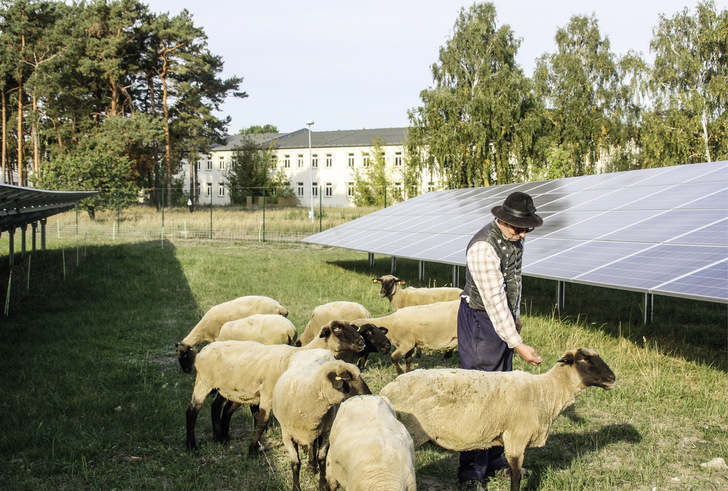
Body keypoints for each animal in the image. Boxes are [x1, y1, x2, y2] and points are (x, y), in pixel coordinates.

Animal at [185, 320, 366, 456]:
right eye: (337, 329)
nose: (362, 342)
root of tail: (203, 351)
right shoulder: (268, 393)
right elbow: (262, 421)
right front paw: (252, 450)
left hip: (225, 389)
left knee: (216, 407)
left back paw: (220, 438)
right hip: (203, 382)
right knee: (192, 411)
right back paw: (192, 446)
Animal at [272, 356, 370, 490]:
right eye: (346, 378)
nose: (369, 394)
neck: (306, 397)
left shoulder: (326, 432)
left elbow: (322, 459)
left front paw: (322, 484)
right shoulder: (287, 436)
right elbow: (296, 463)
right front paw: (296, 487)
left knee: (313, 445)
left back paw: (312, 466)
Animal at [378, 348, 616, 490]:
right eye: (583, 359)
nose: (612, 378)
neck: (546, 392)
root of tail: (387, 389)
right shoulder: (516, 438)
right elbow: (516, 475)